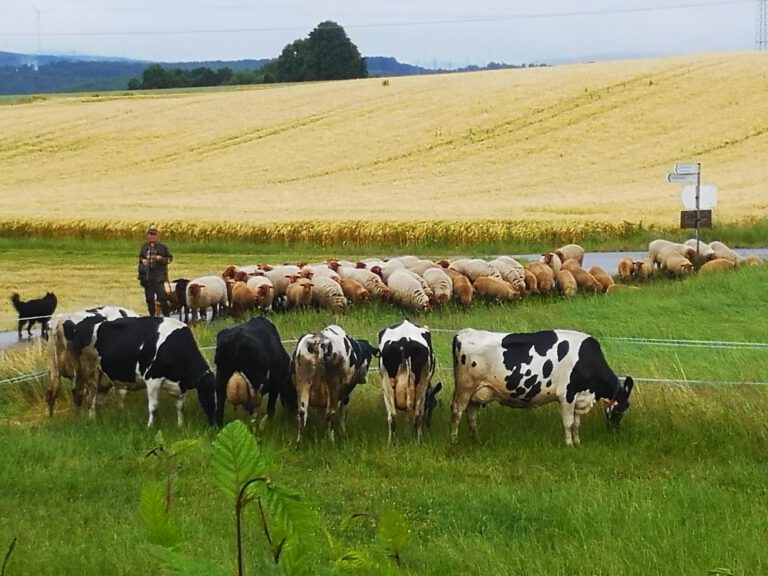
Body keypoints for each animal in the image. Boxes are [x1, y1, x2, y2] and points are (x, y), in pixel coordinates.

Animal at [60, 312, 214, 426]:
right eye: (212, 394)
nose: (215, 425)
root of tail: (76, 325)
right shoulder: (152, 379)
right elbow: (154, 407)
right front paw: (150, 427)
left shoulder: (179, 386)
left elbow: (180, 406)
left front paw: (180, 426)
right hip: (89, 370)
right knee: (89, 396)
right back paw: (92, 419)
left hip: (104, 377)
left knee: (97, 399)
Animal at [448, 328, 632, 446]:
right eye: (619, 410)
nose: (615, 430)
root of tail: (464, 332)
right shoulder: (567, 395)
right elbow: (568, 423)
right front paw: (569, 445)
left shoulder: (579, 397)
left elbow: (577, 424)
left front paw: (578, 443)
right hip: (465, 387)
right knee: (457, 411)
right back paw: (454, 440)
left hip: (477, 392)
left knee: (471, 414)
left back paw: (476, 440)